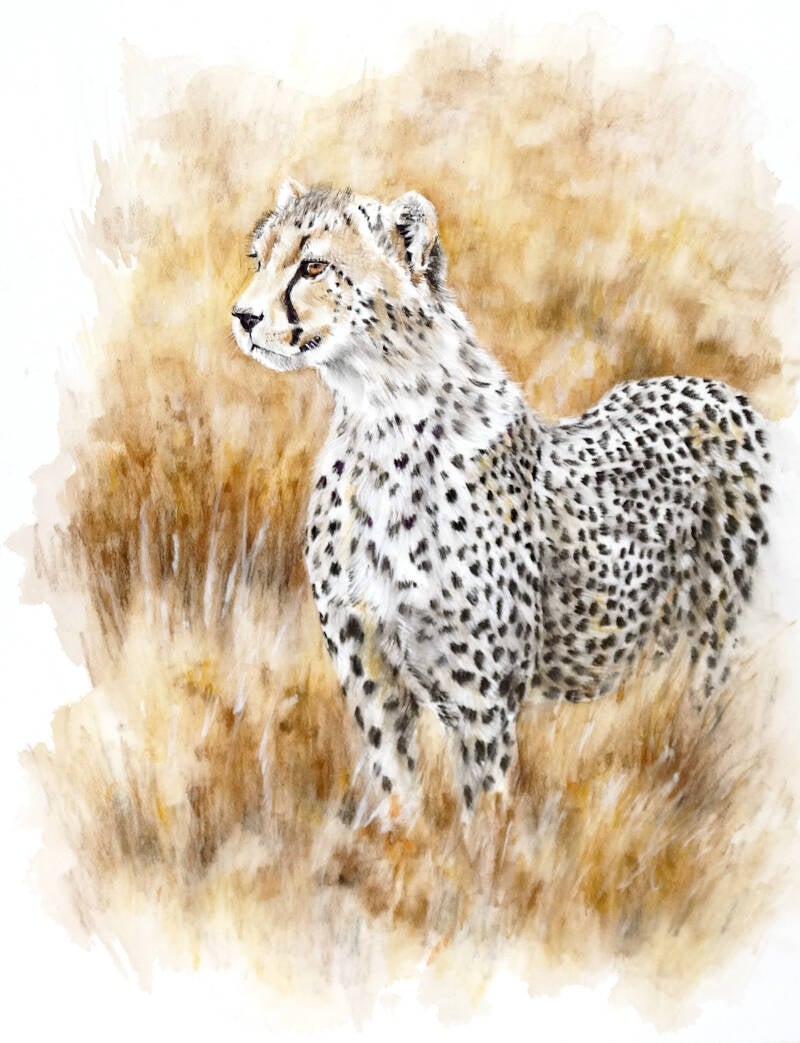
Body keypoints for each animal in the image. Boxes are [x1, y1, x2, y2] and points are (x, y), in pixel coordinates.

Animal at [231, 179, 771, 822]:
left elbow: (485, 818)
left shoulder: (481, 701)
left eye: (313, 265)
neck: (379, 418)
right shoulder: (372, 680)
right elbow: (399, 797)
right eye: (258, 258)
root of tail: (716, 389)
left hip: (714, 639)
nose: (243, 317)